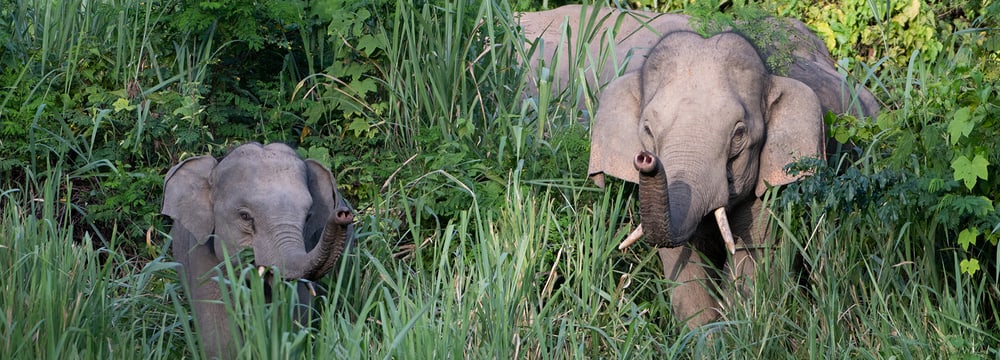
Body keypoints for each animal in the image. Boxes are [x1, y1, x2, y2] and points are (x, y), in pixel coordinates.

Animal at [162, 143, 354, 360]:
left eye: (308, 217)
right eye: (245, 216)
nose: (343, 214)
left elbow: (296, 313)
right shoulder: (200, 249)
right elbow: (218, 326)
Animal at [520, 4, 880, 326]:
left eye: (738, 134)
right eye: (647, 129)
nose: (645, 159)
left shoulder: (775, 177)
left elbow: (754, 252)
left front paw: (736, 331)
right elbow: (681, 260)